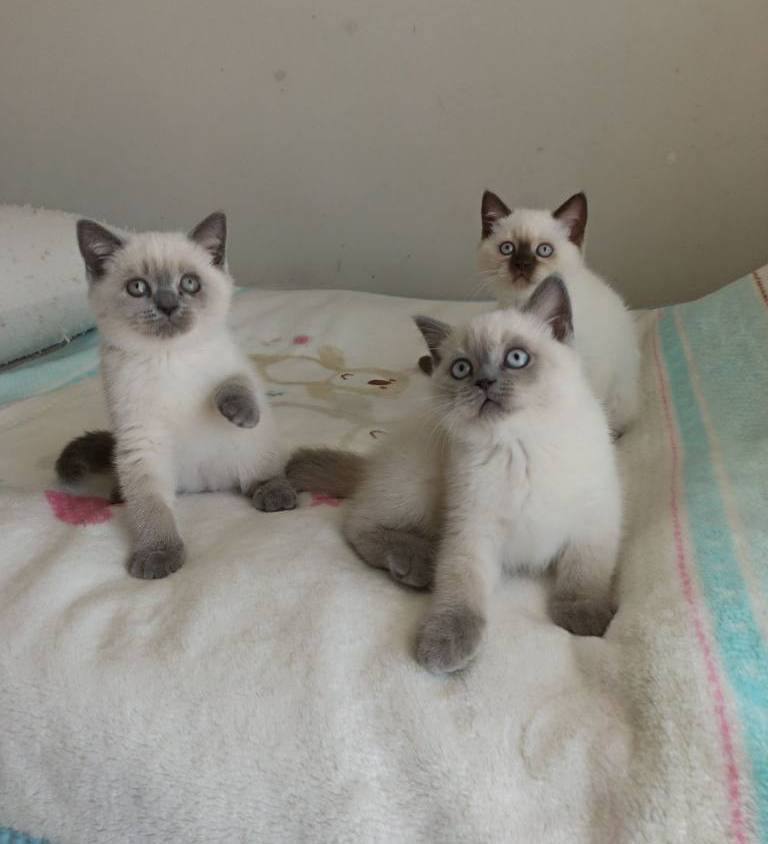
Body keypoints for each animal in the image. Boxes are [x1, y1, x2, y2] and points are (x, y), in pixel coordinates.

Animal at [55, 212, 296, 579]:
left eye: (190, 284)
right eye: (138, 287)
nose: (168, 305)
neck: (168, 357)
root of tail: (205, 486)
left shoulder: (235, 364)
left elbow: (235, 383)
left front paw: (239, 412)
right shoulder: (141, 440)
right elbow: (152, 509)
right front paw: (158, 554)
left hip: (253, 449)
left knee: (257, 474)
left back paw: (274, 493)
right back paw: (117, 494)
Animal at [288, 276, 622, 673]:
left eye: (516, 358)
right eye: (462, 368)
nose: (484, 383)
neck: (520, 445)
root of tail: (377, 457)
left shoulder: (595, 519)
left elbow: (585, 572)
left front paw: (584, 617)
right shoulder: (472, 528)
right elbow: (460, 586)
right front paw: (444, 644)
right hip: (419, 483)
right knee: (358, 523)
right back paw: (416, 561)